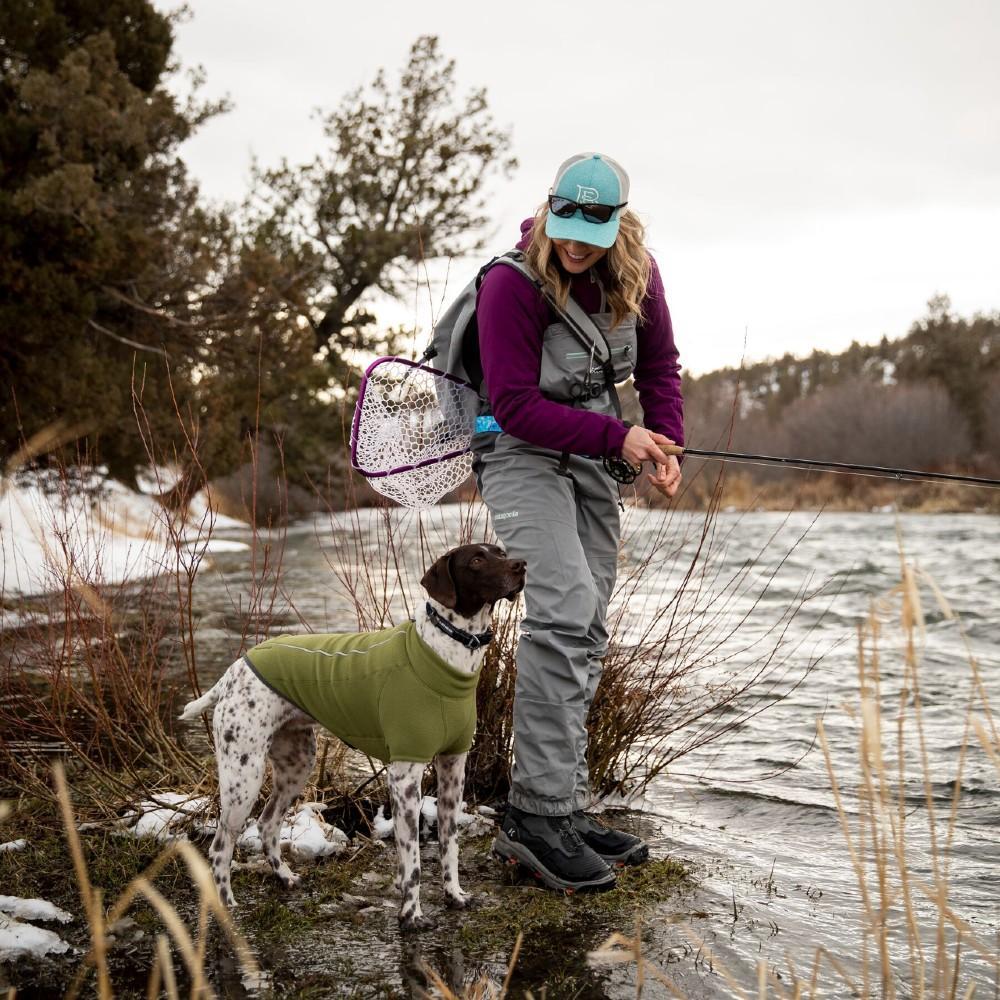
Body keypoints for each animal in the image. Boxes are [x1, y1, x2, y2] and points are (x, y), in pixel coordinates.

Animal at [180, 548, 528, 928]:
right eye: (477, 560)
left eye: (501, 552)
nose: (522, 566)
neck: (447, 653)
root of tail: (234, 670)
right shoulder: (404, 777)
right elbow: (414, 862)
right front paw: (412, 915)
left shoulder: (453, 769)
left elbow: (449, 845)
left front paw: (454, 896)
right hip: (243, 776)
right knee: (220, 846)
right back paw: (228, 906)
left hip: (296, 764)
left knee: (268, 822)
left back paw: (284, 877)